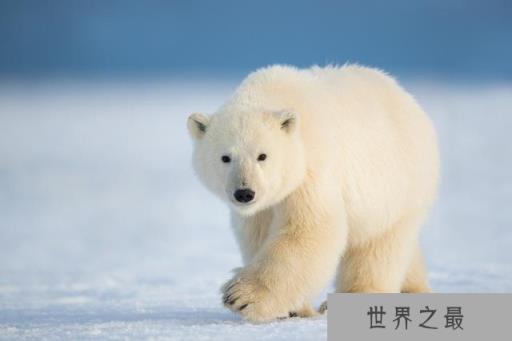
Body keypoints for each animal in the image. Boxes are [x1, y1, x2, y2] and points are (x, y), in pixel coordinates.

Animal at [186, 64, 438, 322]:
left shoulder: (311, 169)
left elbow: (310, 229)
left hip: (397, 186)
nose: (244, 193)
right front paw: (294, 309)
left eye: (262, 155)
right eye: (225, 157)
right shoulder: (262, 207)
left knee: (378, 245)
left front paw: (241, 296)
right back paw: (412, 288)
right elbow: (259, 234)